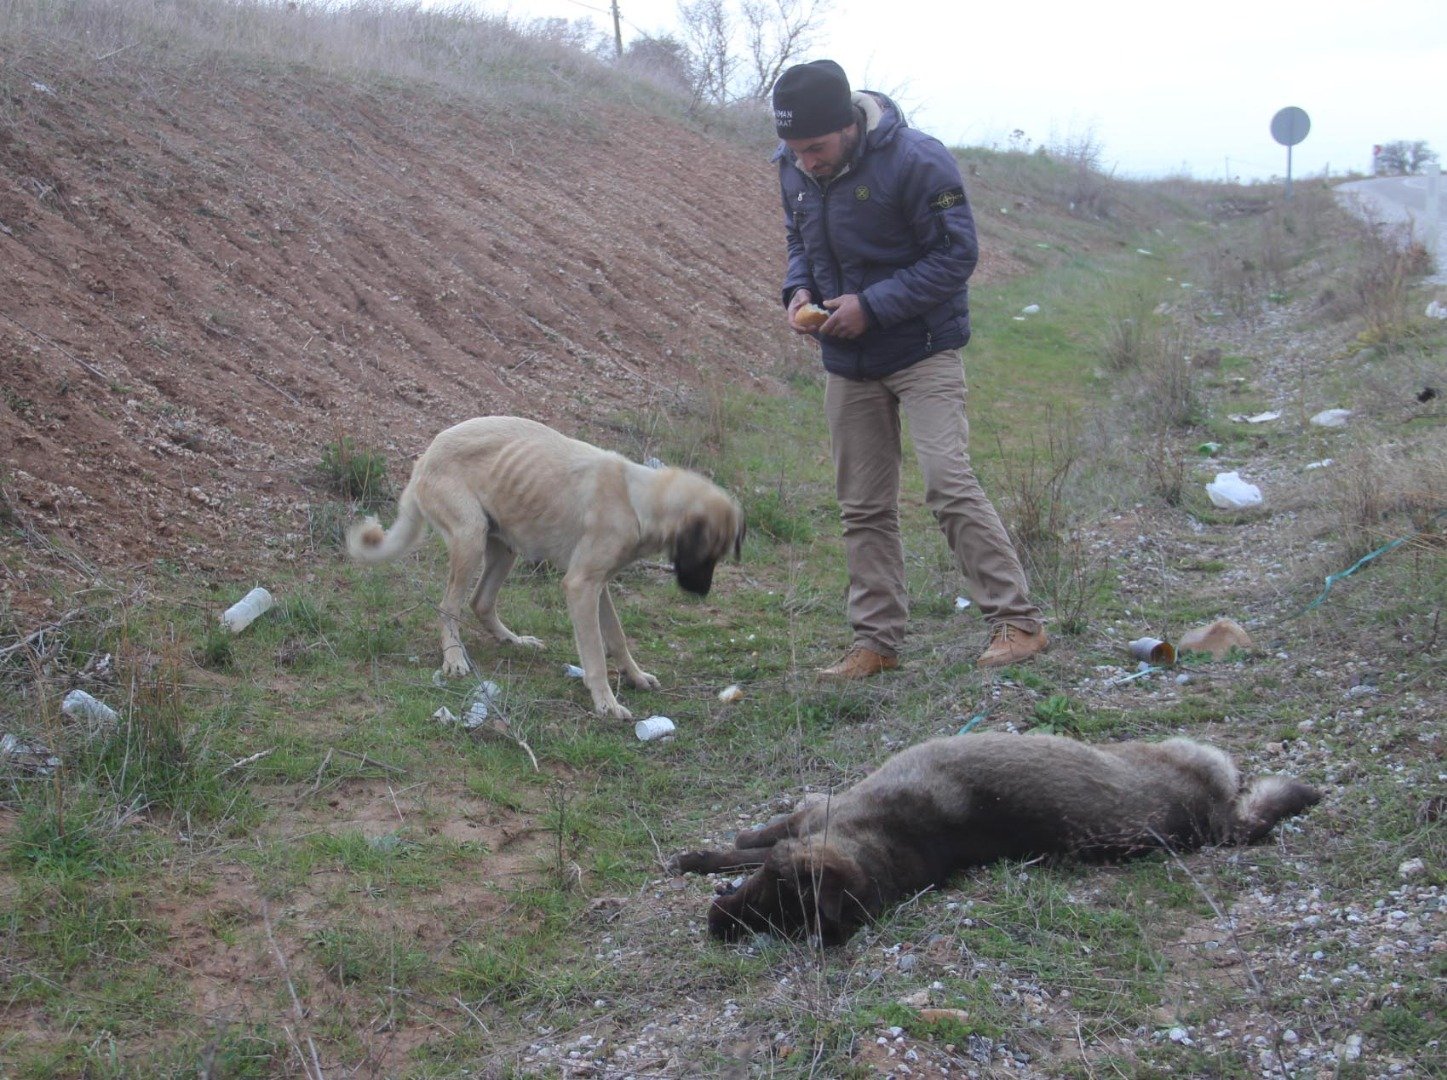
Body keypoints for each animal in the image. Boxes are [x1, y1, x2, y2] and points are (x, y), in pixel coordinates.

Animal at [342, 416, 740, 718]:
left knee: (480, 602)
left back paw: (514, 640)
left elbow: (616, 637)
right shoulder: (580, 586)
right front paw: (606, 702)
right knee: (449, 606)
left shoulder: (599, 586)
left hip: (504, 547)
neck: (636, 497)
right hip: (470, 537)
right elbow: (595, 654)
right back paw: (453, 657)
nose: (702, 593)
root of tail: (425, 456)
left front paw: (636, 677)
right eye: (706, 555)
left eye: (718, 555)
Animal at [671, 732, 1319, 943]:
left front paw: (707, 851)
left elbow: (753, 838)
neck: (885, 842)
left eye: (774, 903)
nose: (717, 926)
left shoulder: (815, 814)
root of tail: (1206, 820)